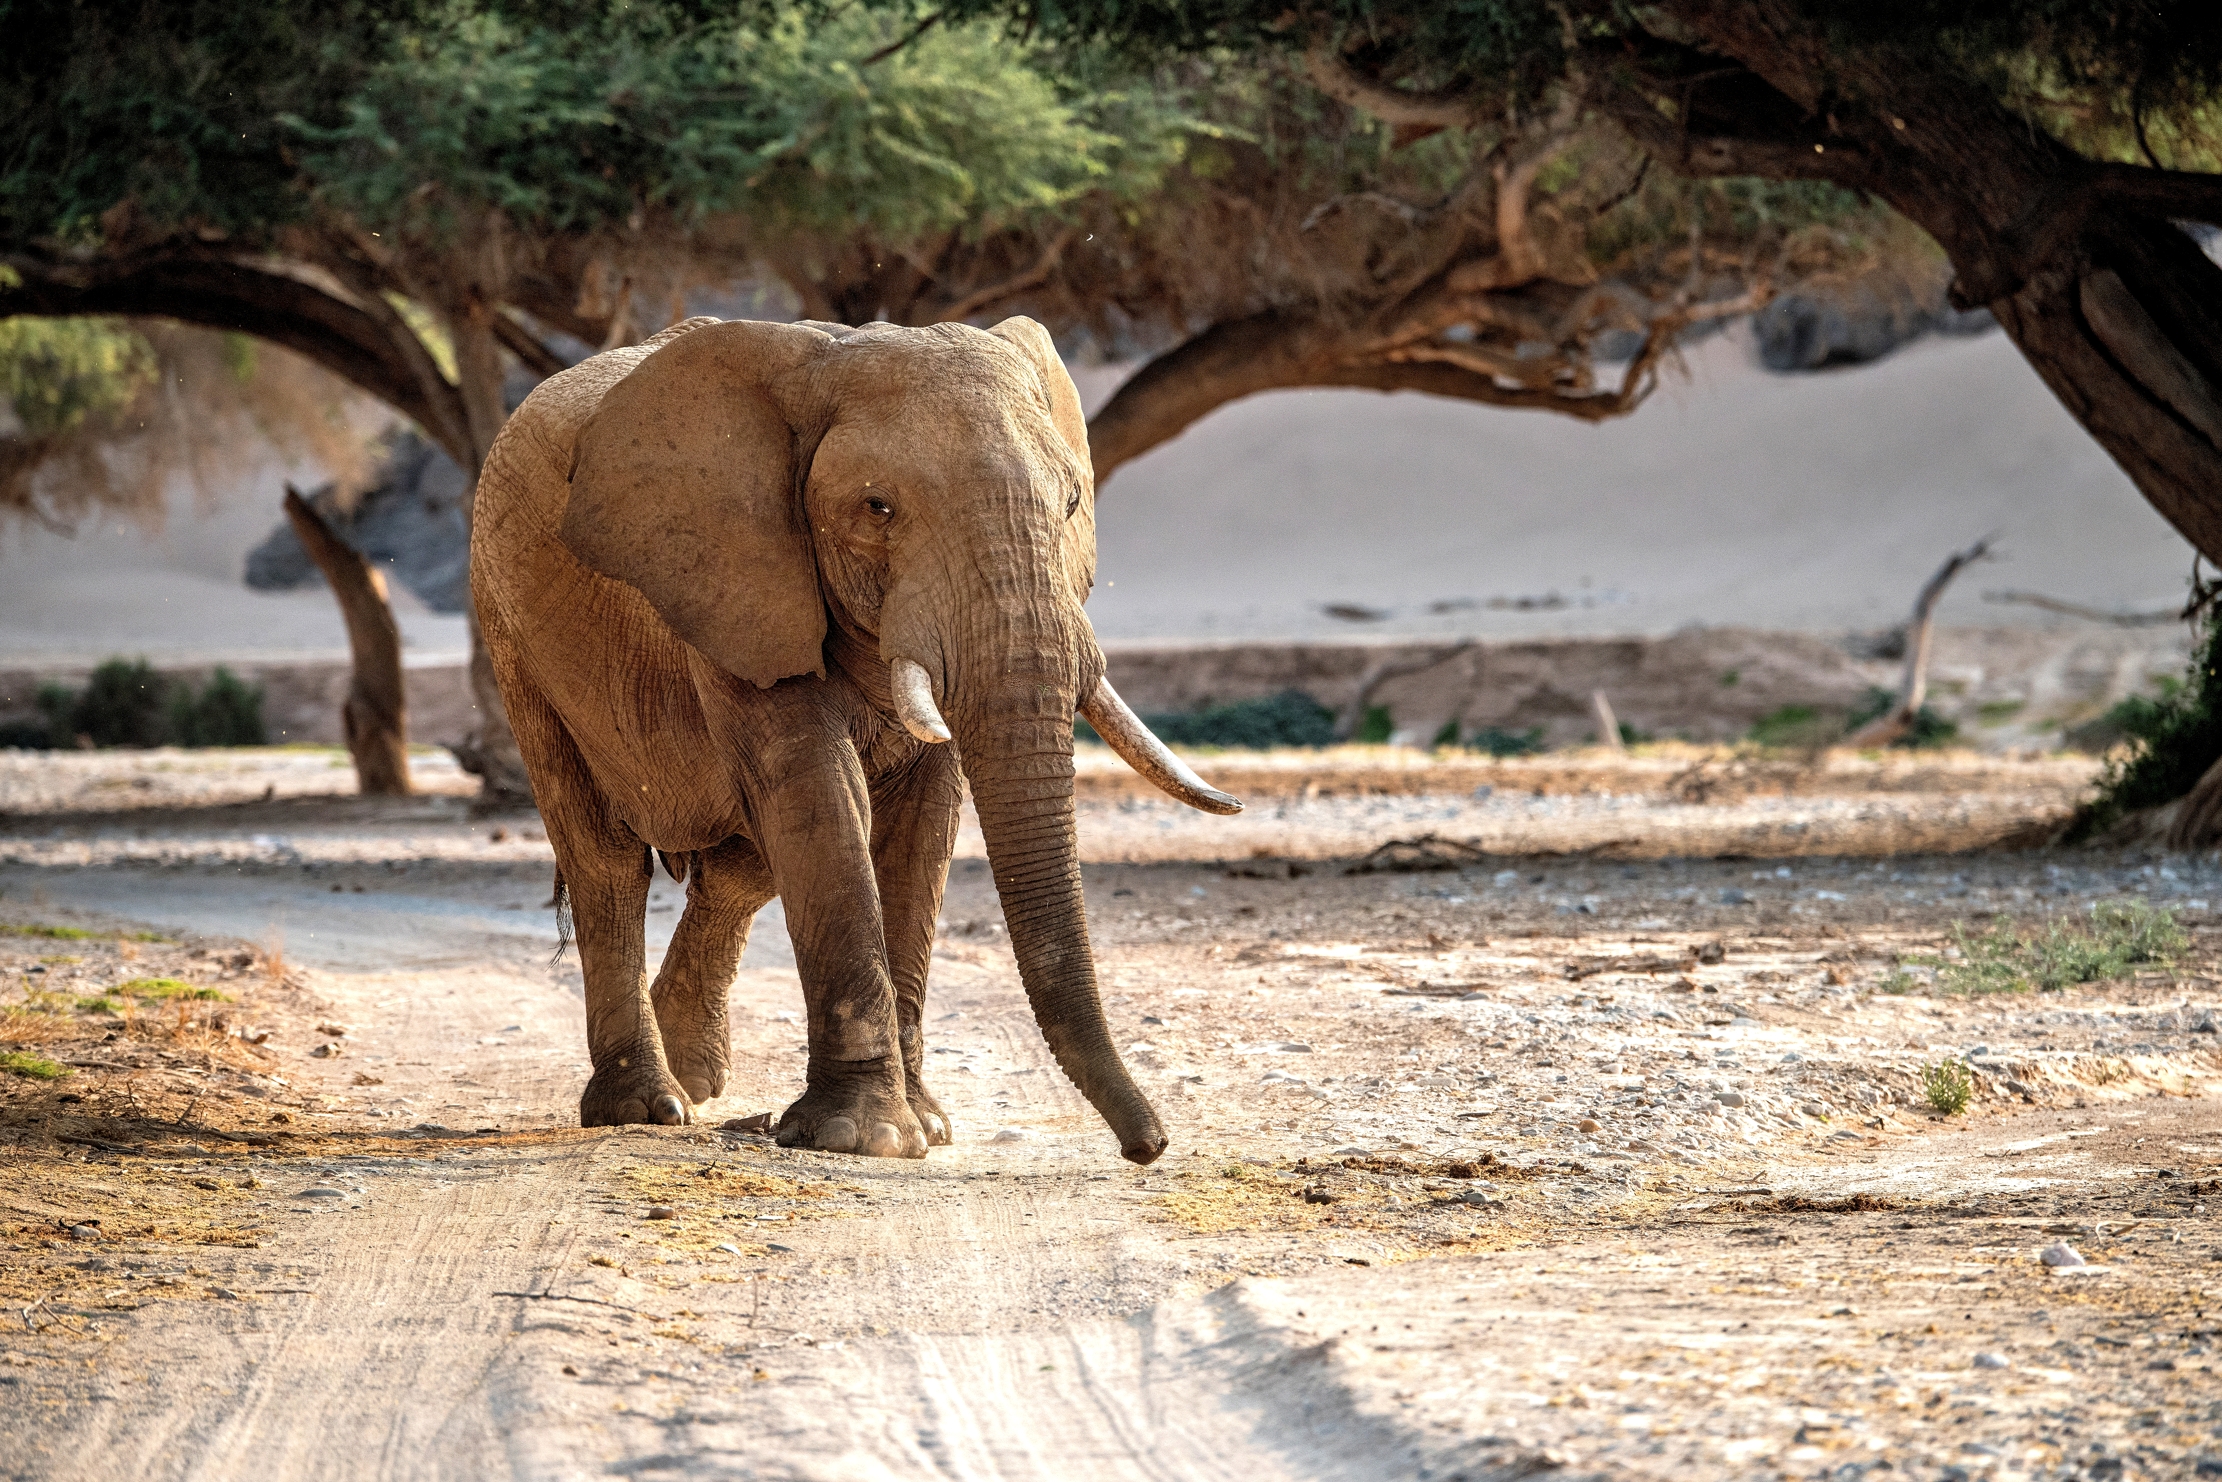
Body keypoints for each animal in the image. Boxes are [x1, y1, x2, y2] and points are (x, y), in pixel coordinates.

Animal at [469, 314, 1240, 1163]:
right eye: (878, 508)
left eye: (1072, 502)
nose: (1150, 1147)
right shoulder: (738, 574)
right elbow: (820, 793)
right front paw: (863, 1137)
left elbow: (922, 822)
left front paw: (925, 1127)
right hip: (509, 631)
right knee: (605, 861)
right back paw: (648, 1105)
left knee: (741, 867)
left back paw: (694, 1079)